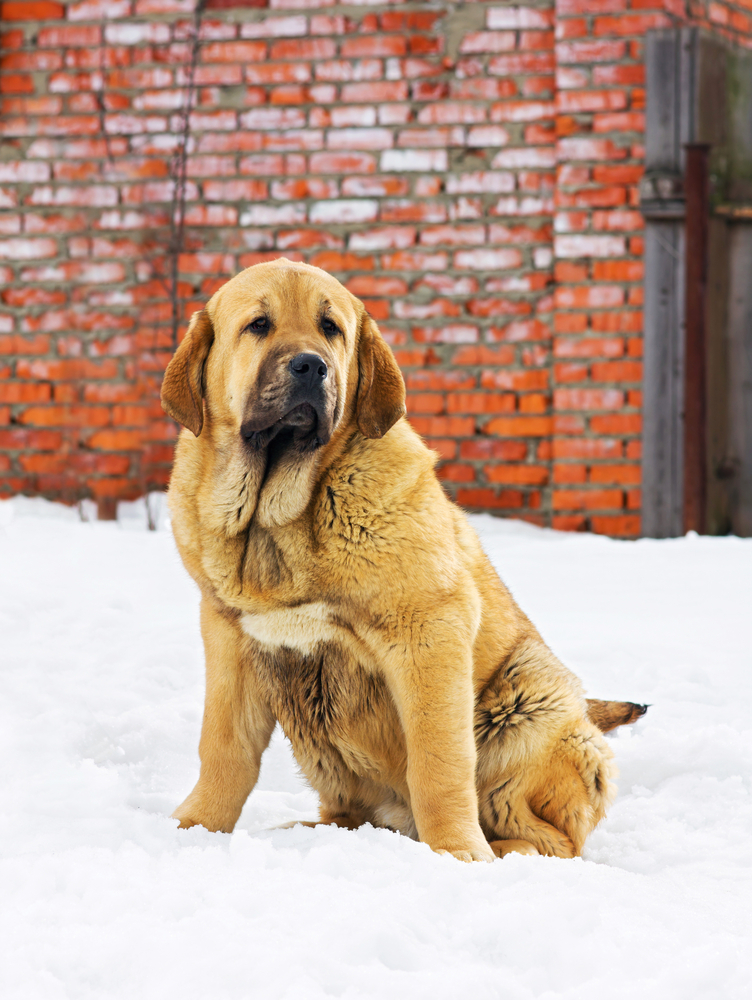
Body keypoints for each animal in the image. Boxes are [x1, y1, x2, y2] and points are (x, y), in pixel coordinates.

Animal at [160, 258, 648, 860]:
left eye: (330, 328)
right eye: (258, 326)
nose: (311, 366)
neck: (281, 514)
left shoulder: (429, 630)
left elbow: (439, 762)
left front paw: (458, 855)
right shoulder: (231, 633)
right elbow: (224, 748)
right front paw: (195, 830)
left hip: (531, 698)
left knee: (552, 837)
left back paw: (503, 852)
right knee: (347, 812)